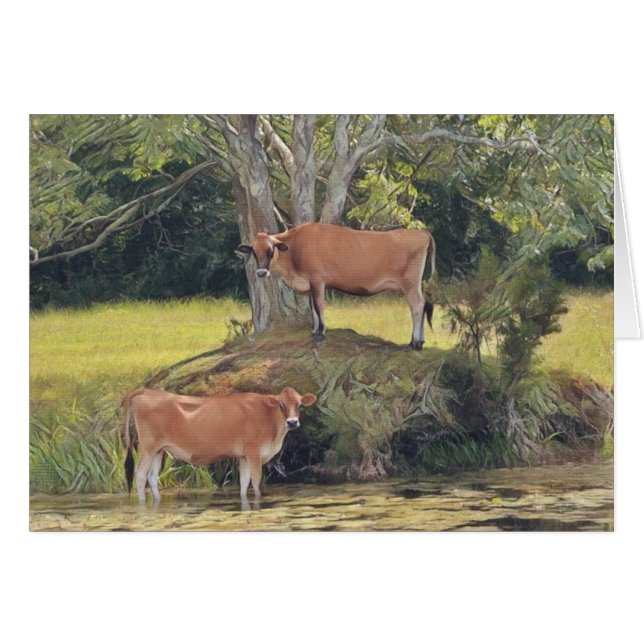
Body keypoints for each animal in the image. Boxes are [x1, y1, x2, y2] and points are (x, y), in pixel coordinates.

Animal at [121, 386, 317, 507]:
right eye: (281, 404)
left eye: (299, 404)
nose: (292, 422)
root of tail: (147, 391)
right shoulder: (253, 454)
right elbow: (256, 484)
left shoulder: (243, 456)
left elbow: (244, 484)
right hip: (148, 447)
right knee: (140, 475)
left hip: (159, 450)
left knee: (152, 476)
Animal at [238, 222, 436, 349]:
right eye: (254, 252)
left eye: (271, 251)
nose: (261, 273)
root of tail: (422, 233)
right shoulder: (311, 284)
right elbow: (313, 307)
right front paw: (314, 330)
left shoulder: (317, 279)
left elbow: (319, 306)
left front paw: (321, 332)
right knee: (423, 305)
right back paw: (421, 341)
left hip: (410, 283)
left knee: (417, 306)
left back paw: (415, 342)